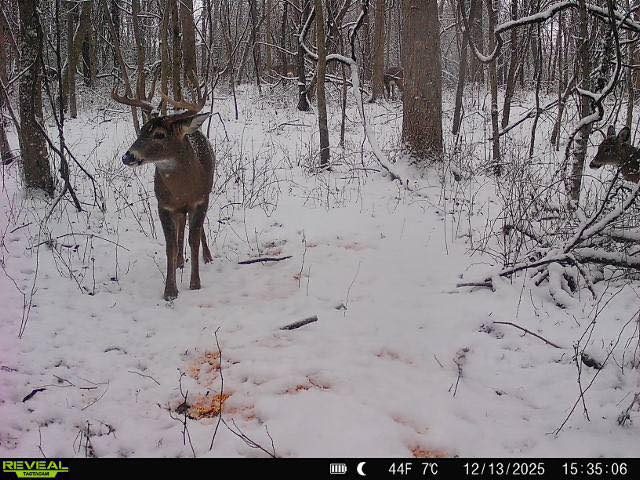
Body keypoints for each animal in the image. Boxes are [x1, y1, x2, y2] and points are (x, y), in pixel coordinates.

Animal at [112, 88, 215, 300]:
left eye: (159, 134)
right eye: (142, 130)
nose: (127, 156)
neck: (183, 191)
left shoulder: (200, 200)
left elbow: (194, 240)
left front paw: (195, 283)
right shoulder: (164, 205)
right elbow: (170, 246)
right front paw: (170, 290)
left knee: (195, 228)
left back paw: (207, 256)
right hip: (177, 209)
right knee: (181, 225)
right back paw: (179, 262)